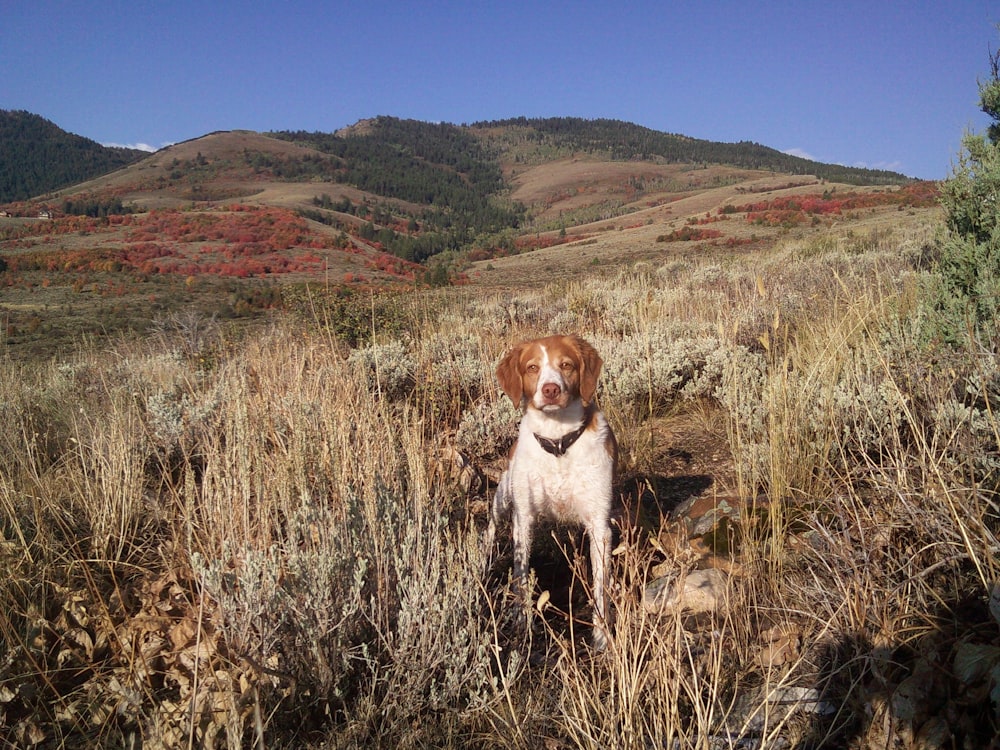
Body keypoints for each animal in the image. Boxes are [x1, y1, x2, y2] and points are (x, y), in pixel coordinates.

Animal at [484, 336, 616, 652]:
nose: (551, 390)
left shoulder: (599, 526)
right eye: (532, 367)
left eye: (566, 365)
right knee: (490, 529)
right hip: (503, 496)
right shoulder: (523, 519)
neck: (558, 443)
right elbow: (521, 574)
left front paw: (601, 637)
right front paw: (522, 622)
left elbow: (600, 587)